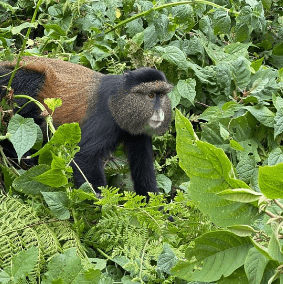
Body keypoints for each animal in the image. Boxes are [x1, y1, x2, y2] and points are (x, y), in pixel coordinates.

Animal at [0, 56, 173, 196]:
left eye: (162, 95)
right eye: (150, 95)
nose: (159, 112)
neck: (120, 100)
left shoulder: (138, 132)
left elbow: (143, 169)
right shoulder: (106, 119)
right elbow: (84, 156)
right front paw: (104, 205)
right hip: (15, 84)